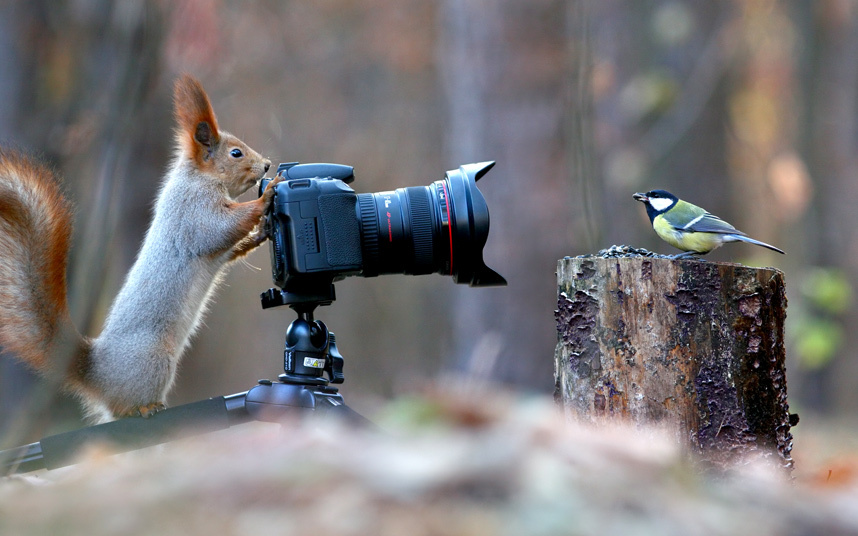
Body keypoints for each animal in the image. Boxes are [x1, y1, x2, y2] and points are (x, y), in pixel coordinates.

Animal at [0, 73, 284, 420]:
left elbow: (231, 247)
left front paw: (262, 231)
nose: (267, 165)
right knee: (123, 408)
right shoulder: (193, 213)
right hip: (155, 360)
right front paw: (267, 195)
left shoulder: (216, 243)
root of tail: (97, 374)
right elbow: (218, 229)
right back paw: (145, 407)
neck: (198, 178)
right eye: (235, 154)